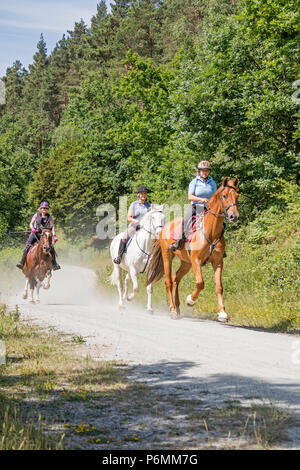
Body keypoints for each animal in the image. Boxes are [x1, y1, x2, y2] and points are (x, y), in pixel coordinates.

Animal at [146, 178, 239, 322]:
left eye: (237, 196)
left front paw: (222, 313)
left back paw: (178, 308)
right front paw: (190, 300)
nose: (234, 216)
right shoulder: (196, 260)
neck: (211, 231)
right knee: (168, 281)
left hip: (186, 263)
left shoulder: (218, 262)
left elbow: (219, 287)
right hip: (168, 256)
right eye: (224, 196)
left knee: (175, 279)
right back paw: (173, 310)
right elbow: (200, 283)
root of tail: (165, 226)